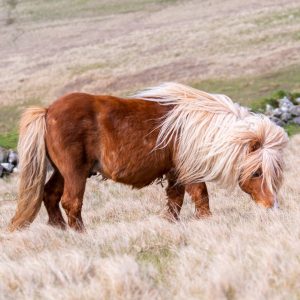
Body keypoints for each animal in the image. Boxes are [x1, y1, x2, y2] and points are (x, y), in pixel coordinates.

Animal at [8, 83, 288, 231]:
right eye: (257, 172)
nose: (271, 206)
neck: (199, 127)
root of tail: (47, 110)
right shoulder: (190, 170)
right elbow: (201, 196)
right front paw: (206, 222)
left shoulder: (176, 173)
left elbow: (175, 201)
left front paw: (170, 224)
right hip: (74, 172)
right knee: (71, 202)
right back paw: (80, 235)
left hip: (62, 171)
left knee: (50, 195)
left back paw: (60, 230)